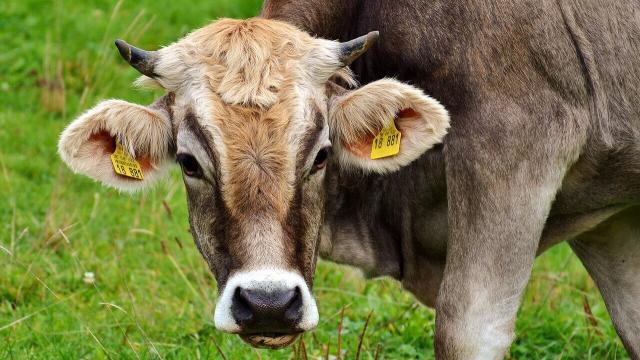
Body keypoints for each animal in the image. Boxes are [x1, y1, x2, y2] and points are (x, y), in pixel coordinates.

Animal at [56, 0, 640, 358]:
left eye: (320, 156)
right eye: (189, 161)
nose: (267, 304)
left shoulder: (514, 152)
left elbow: (469, 331)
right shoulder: (609, 215)